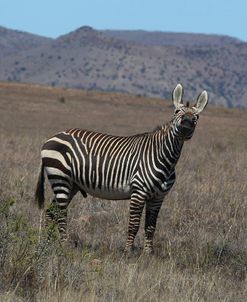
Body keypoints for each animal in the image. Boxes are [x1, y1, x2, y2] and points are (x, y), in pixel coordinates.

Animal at [34, 84, 207, 254]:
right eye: (177, 111)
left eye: (197, 117)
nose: (187, 123)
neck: (166, 159)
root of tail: (53, 137)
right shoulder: (139, 192)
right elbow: (134, 225)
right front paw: (128, 252)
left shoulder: (158, 197)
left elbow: (150, 227)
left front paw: (148, 254)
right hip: (61, 178)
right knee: (61, 214)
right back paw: (65, 246)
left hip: (71, 185)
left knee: (51, 212)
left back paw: (47, 244)